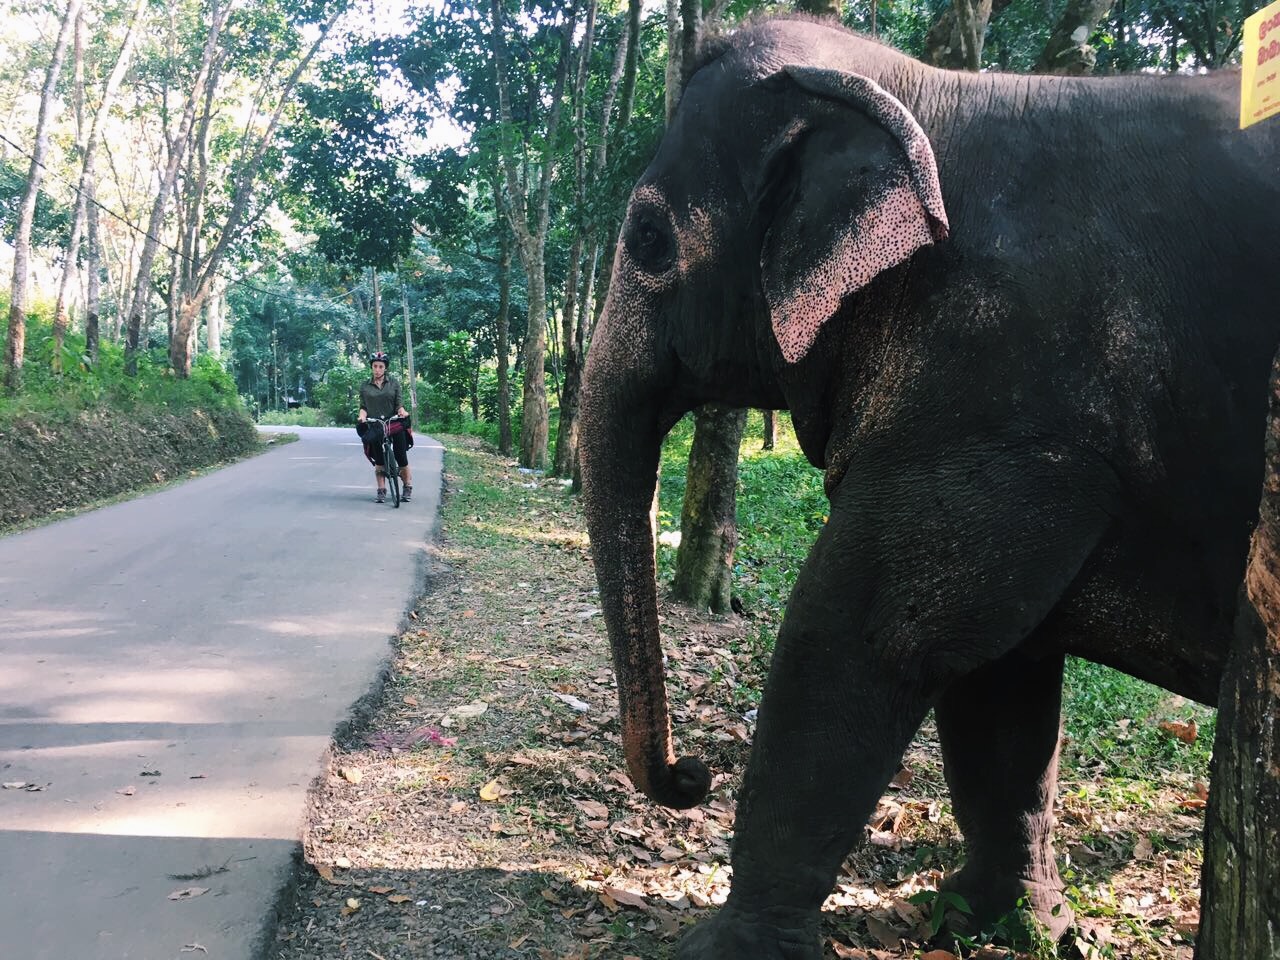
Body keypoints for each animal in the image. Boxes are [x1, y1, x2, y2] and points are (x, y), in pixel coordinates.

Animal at [577, 13, 1280, 959]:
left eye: (650, 242)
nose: (693, 774)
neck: (928, 93)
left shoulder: (999, 385)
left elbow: (869, 634)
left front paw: (725, 947)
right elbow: (1001, 678)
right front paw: (1008, 926)